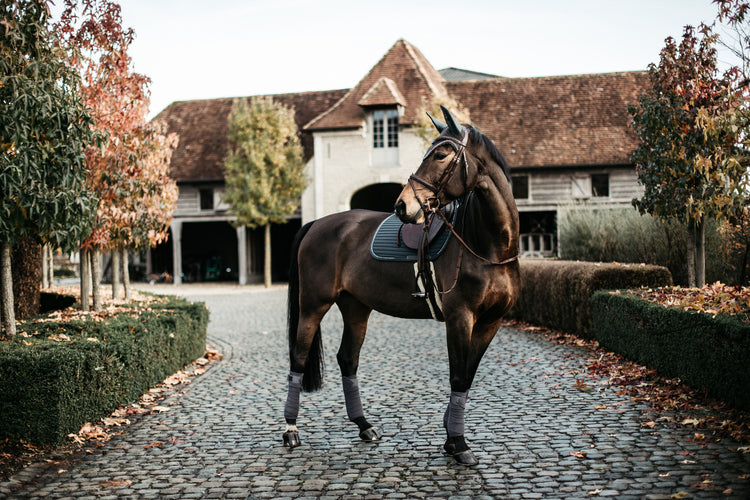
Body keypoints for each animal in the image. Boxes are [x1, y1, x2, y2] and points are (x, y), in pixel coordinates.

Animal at [284, 106, 524, 464]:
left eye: (440, 154)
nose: (401, 206)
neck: (488, 246)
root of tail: (316, 224)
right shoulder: (460, 318)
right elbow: (457, 375)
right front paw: (459, 443)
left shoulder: (490, 322)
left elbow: (467, 376)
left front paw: (451, 435)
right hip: (313, 305)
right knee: (298, 358)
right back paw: (290, 430)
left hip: (356, 308)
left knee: (347, 359)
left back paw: (364, 426)